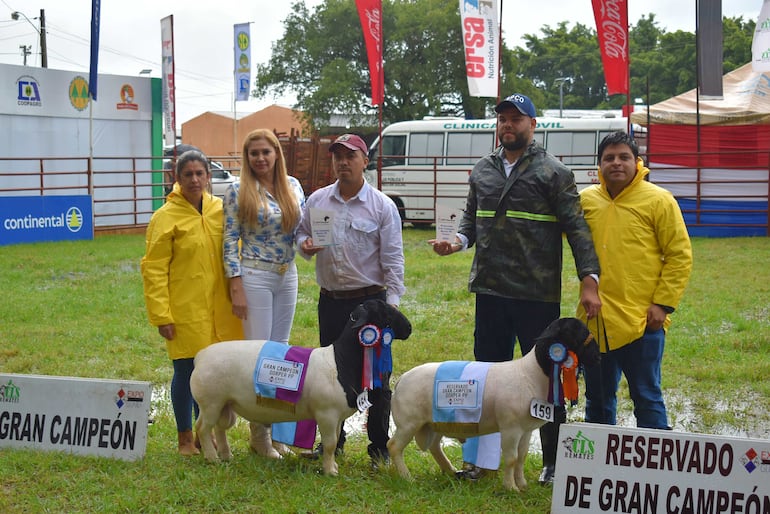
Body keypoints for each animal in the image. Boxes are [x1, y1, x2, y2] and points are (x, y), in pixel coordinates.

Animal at [190, 298, 412, 474]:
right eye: (386, 311)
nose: (409, 328)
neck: (339, 361)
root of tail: (201, 356)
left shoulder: (337, 416)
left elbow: (335, 440)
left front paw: (332, 466)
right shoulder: (326, 413)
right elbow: (330, 444)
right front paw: (330, 471)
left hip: (225, 404)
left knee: (220, 428)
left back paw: (226, 456)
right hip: (210, 402)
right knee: (202, 428)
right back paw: (212, 458)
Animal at [388, 316, 596, 488]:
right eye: (577, 330)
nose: (597, 357)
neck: (531, 373)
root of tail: (401, 379)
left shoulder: (526, 430)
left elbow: (521, 457)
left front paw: (522, 486)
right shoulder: (511, 428)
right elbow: (511, 459)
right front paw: (511, 488)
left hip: (436, 421)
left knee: (434, 446)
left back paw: (450, 471)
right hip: (409, 422)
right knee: (394, 446)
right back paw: (407, 478)